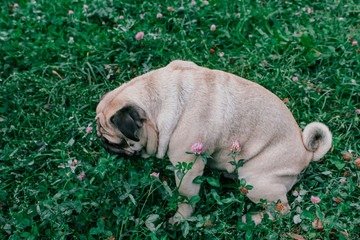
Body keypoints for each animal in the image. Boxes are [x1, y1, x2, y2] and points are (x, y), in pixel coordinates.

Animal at [95, 60, 332, 225]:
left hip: (255, 180)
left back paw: (252, 220)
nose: (103, 145)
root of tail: (306, 152)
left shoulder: (187, 167)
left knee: (281, 210)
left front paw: (179, 219)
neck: (162, 102)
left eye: (117, 142)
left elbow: (185, 197)